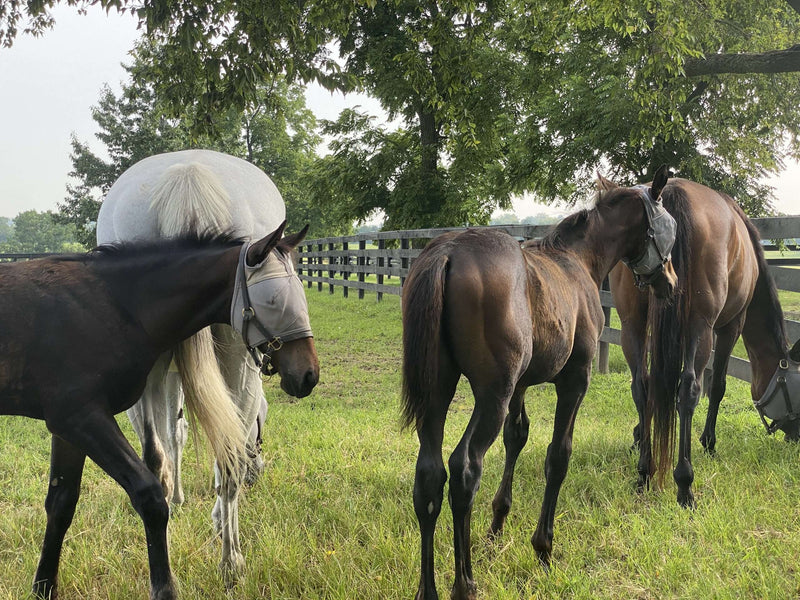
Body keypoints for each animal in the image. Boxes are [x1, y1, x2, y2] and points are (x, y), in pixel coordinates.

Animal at [0, 223, 319, 599]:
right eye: (273, 300)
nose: (308, 374)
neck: (115, 305)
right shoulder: (81, 418)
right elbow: (150, 496)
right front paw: (165, 588)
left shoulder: (66, 428)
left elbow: (61, 503)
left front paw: (43, 588)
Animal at [96, 149, 294, 576]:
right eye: (262, 430)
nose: (259, 473)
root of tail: (189, 175)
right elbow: (206, 436)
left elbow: (174, 434)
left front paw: (176, 500)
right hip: (238, 359)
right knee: (225, 446)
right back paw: (230, 555)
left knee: (161, 445)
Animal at [401, 167, 678, 600]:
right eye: (669, 226)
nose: (670, 281)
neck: (578, 260)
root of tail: (448, 252)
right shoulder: (574, 380)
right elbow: (558, 455)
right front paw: (543, 547)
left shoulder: (520, 387)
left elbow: (517, 437)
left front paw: (497, 527)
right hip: (491, 395)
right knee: (465, 468)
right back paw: (465, 583)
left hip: (439, 392)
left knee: (429, 475)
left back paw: (428, 589)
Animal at [609, 176, 800, 508]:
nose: (796, 435)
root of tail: (669, 192)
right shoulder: (729, 326)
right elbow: (717, 386)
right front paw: (708, 443)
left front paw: (638, 435)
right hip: (702, 325)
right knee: (688, 390)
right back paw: (684, 484)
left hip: (632, 324)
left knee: (642, 387)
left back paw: (644, 472)